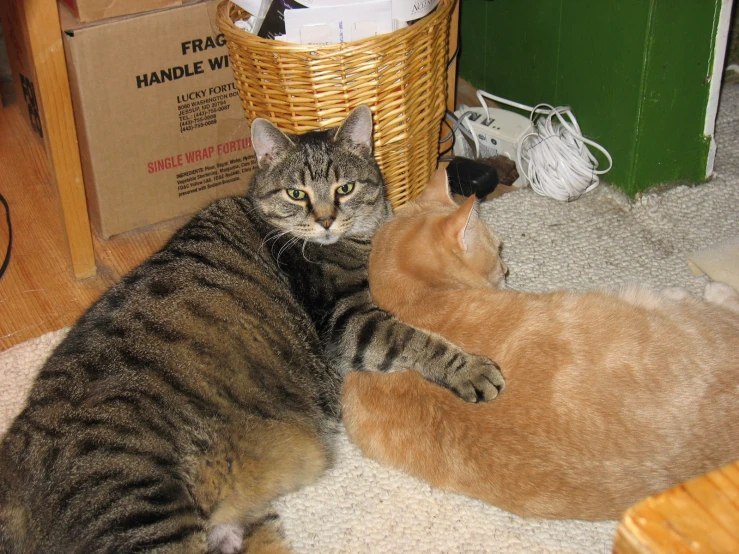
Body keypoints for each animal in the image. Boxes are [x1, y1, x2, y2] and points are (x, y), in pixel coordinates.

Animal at [0, 106, 502, 552]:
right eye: (296, 194)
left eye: (345, 187)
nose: (325, 219)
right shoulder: (347, 320)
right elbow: (416, 339)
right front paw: (472, 369)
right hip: (144, 509)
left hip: (236, 519)